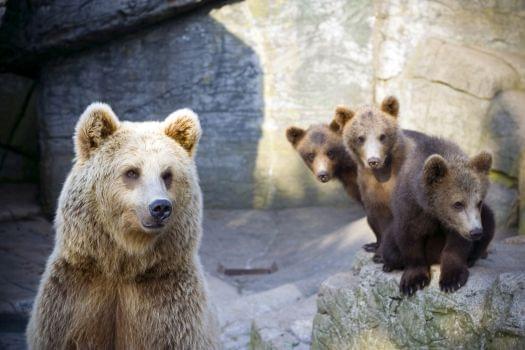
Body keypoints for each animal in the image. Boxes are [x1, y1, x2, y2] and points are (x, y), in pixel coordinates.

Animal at [26, 104, 219, 350]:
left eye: (167, 174)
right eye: (132, 172)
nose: (160, 207)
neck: (123, 263)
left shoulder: (171, 306)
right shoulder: (72, 300)